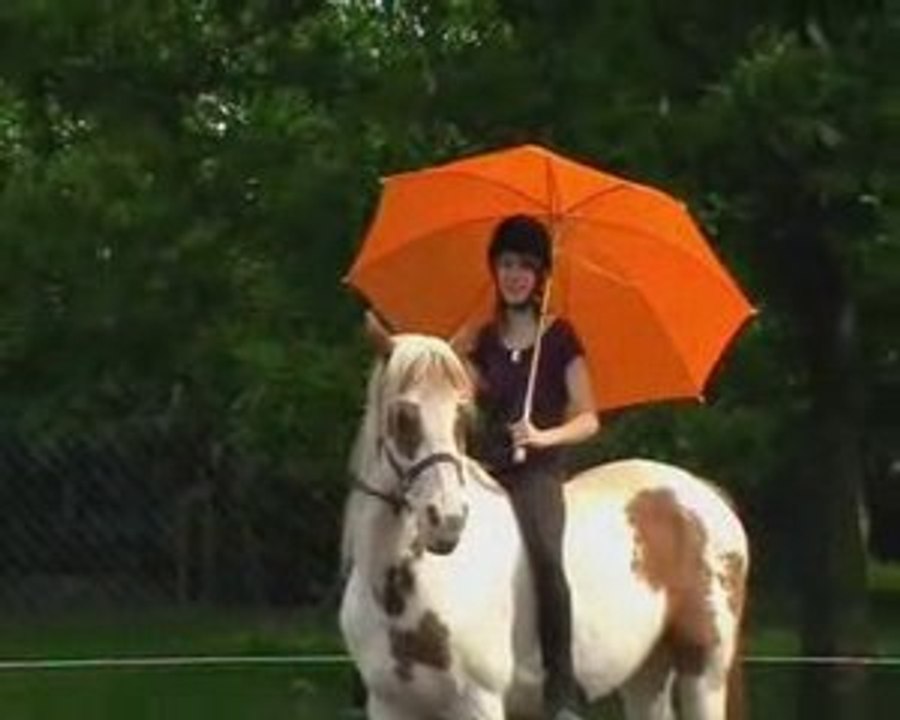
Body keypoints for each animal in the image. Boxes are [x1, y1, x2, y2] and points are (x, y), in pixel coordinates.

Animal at [339, 329, 749, 720]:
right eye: (403, 416)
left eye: (461, 415)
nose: (448, 520)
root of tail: (704, 493)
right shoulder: (390, 705)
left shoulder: (478, 702)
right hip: (646, 676)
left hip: (704, 673)